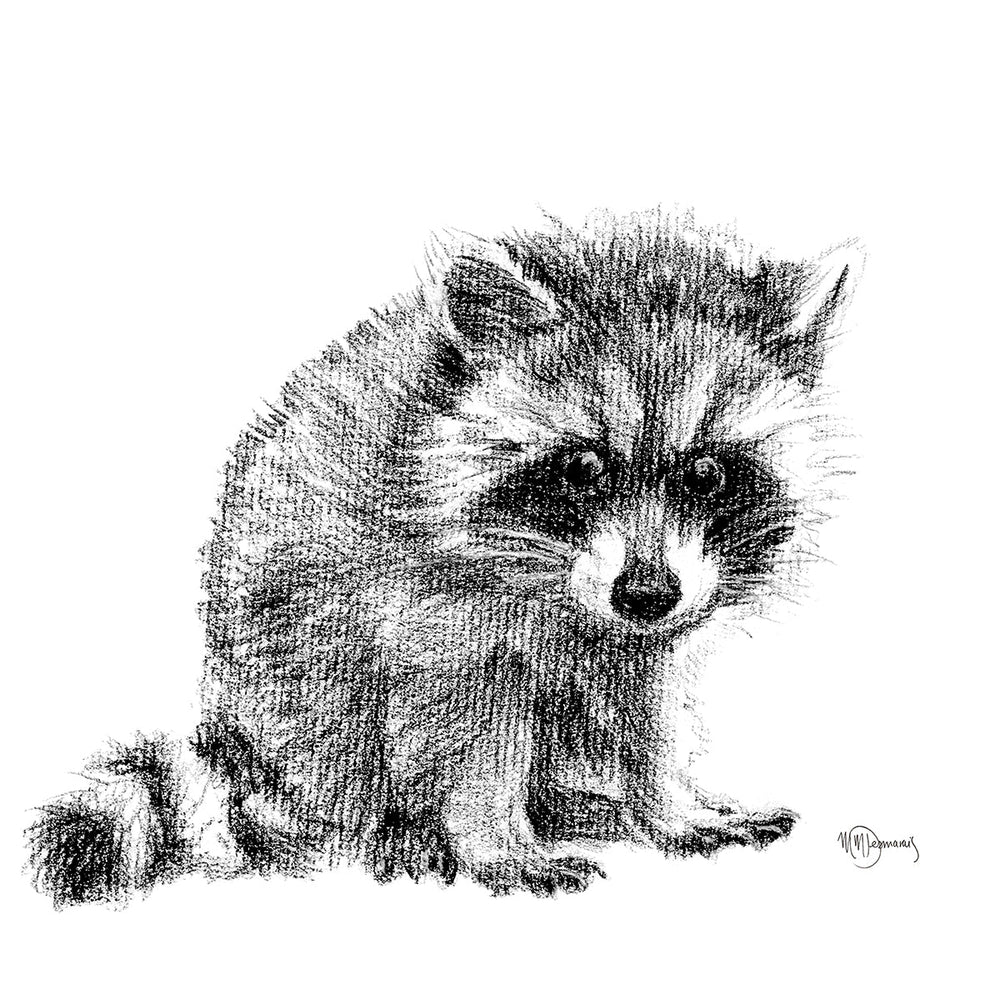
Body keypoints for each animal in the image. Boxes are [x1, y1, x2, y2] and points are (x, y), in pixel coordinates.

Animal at [28, 210, 859, 905]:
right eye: (582, 467)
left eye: (708, 473)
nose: (647, 594)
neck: (564, 585)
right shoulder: (429, 608)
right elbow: (467, 723)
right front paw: (492, 838)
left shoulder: (650, 622)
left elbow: (649, 703)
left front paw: (670, 800)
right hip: (283, 675)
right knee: (331, 720)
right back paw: (394, 826)